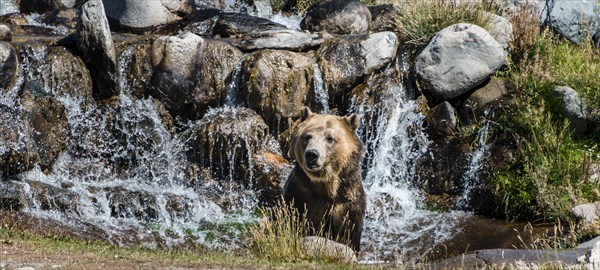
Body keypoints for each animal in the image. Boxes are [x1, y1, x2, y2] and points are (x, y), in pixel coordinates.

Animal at [284, 106, 366, 252]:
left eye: (330, 138)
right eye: (307, 136)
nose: (312, 154)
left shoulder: (348, 200)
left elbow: (349, 232)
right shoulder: (300, 193)